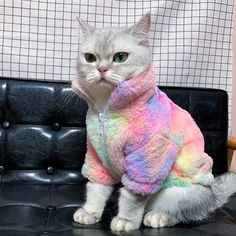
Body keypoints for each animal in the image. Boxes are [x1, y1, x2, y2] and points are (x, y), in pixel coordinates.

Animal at [72, 13, 236, 232]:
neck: (105, 111)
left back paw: (158, 216)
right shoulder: (97, 157)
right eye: (90, 58)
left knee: (183, 213)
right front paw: (90, 212)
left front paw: (125, 220)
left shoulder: (146, 160)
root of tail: (213, 195)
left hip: (178, 191)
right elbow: (96, 189)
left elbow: (132, 197)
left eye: (120, 57)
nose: (101, 69)